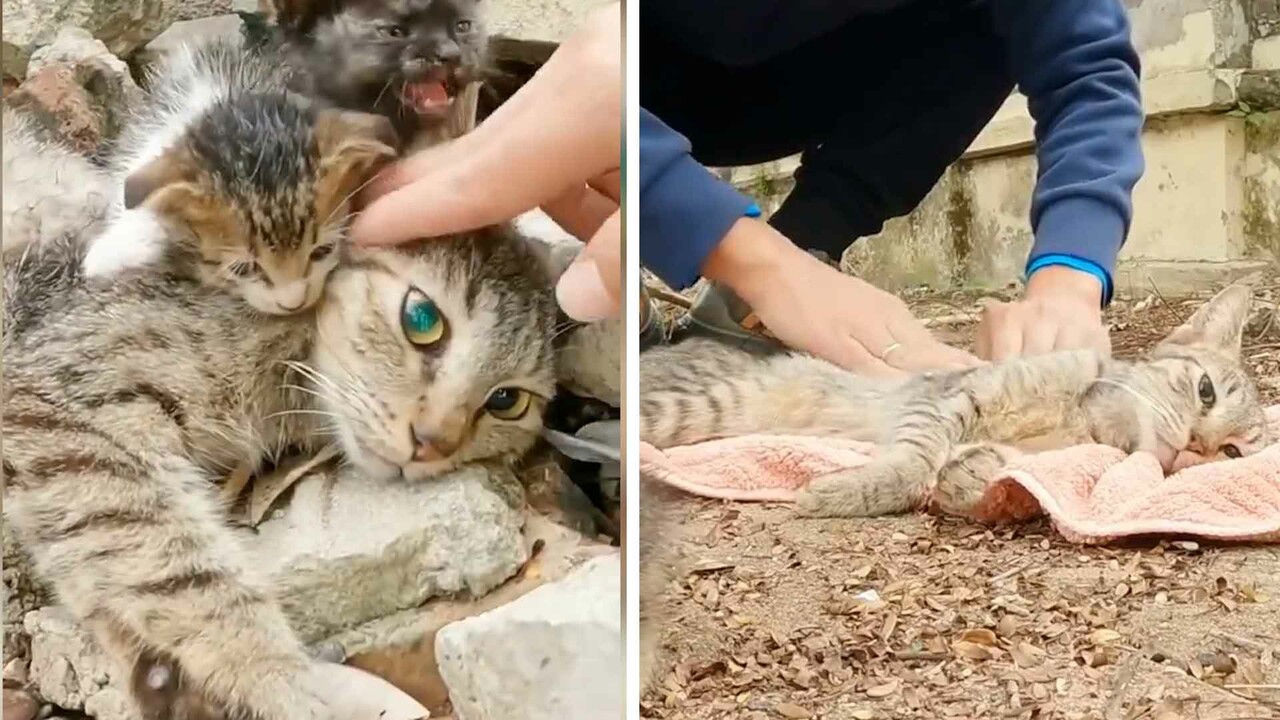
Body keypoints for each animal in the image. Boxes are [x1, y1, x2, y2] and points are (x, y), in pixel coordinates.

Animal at [2, 98, 558, 712]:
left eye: (507, 401)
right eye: (422, 320)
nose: (433, 441)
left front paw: (162, 674)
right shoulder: (60, 402)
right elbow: (180, 566)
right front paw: (278, 680)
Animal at [645, 281, 1264, 515]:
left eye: (1232, 453)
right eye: (1205, 390)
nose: (1196, 445)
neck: (1083, 416)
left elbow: (1001, 466)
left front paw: (972, 478)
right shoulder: (948, 395)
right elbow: (913, 462)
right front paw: (850, 490)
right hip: (697, 404)